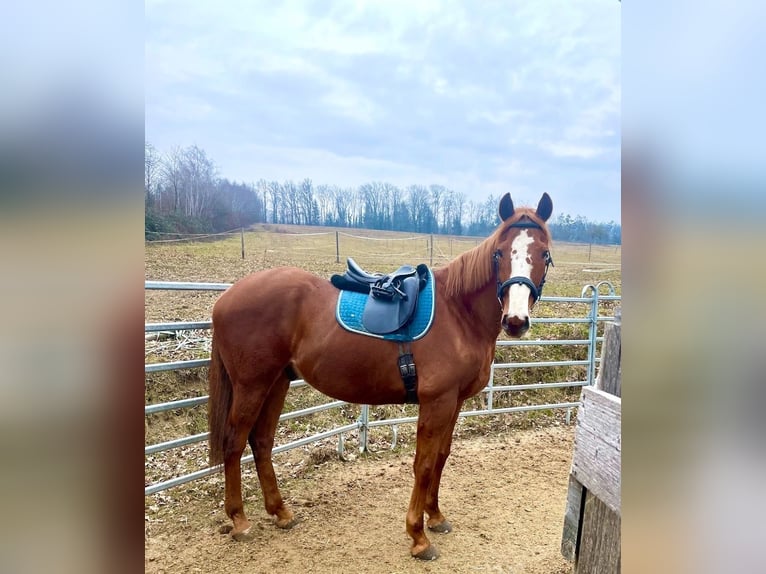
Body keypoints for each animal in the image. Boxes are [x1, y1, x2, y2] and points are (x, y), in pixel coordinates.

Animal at [207, 192, 554, 560]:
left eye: (544, 254)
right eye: (500, 253)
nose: (515, 320)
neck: (458, 312)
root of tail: (226, 298)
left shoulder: (454, 402)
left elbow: (441, 457)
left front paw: (436, 516)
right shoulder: (436, 402)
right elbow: (424, 464)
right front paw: (418, 536)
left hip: (277, 382)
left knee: (261, 441)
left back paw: (281, 512)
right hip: (252, 385)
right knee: (234, 442)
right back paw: (240, 520)